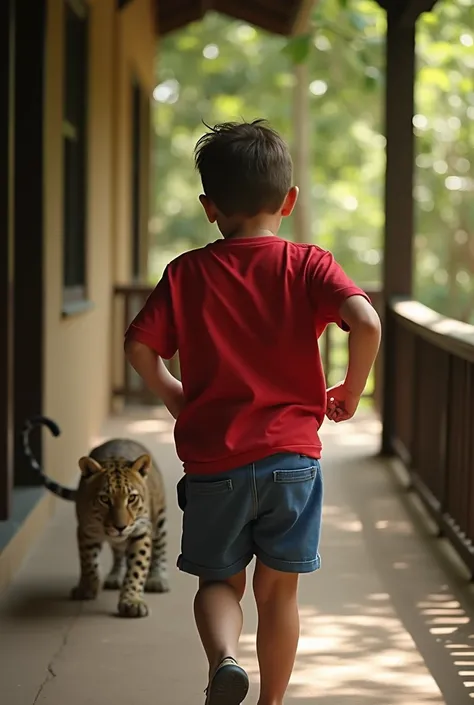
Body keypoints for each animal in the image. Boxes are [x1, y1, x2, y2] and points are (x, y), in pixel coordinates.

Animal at [23, 416, 170, 620]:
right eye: (105, 499)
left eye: (131, 498)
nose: (120, 527)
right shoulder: (85, 531)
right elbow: (88, 562)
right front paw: (87, 588)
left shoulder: (141, 531)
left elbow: (137, 567)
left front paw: (132, 601)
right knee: (118, 551)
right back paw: (115, 575)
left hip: (160, 518)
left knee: (160, 547)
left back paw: (157, 578)